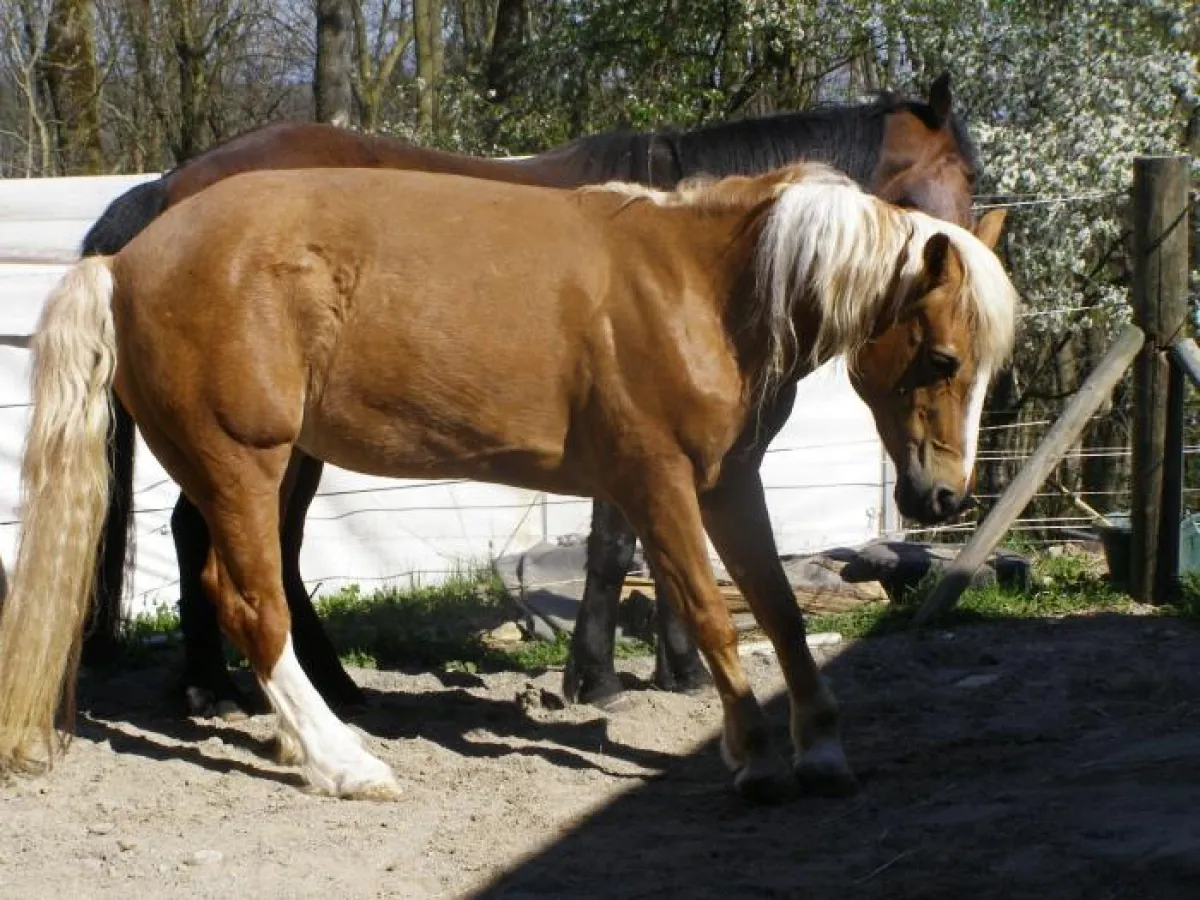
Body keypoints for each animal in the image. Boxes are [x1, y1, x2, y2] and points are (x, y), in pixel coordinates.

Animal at [0, 161, 1015, 801]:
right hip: (242, 462)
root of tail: (126, 260)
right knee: (252, 602)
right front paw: (759, 760)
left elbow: (781, 611)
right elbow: (715, 617)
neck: (700, 289)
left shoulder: (730, 485)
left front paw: (824, 750)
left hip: (275, 465)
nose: (942, 499)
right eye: (940, 358)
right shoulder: (658, 484)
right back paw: (342, 762)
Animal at [79, 74, 980, 716]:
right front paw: (599, 678)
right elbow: (621, 548)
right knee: (218, 536)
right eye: (962, 179)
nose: (938, 497)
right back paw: (222, 687)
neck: (701, 253)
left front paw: (677, 670)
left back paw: (307, 686)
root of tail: (167, 191)